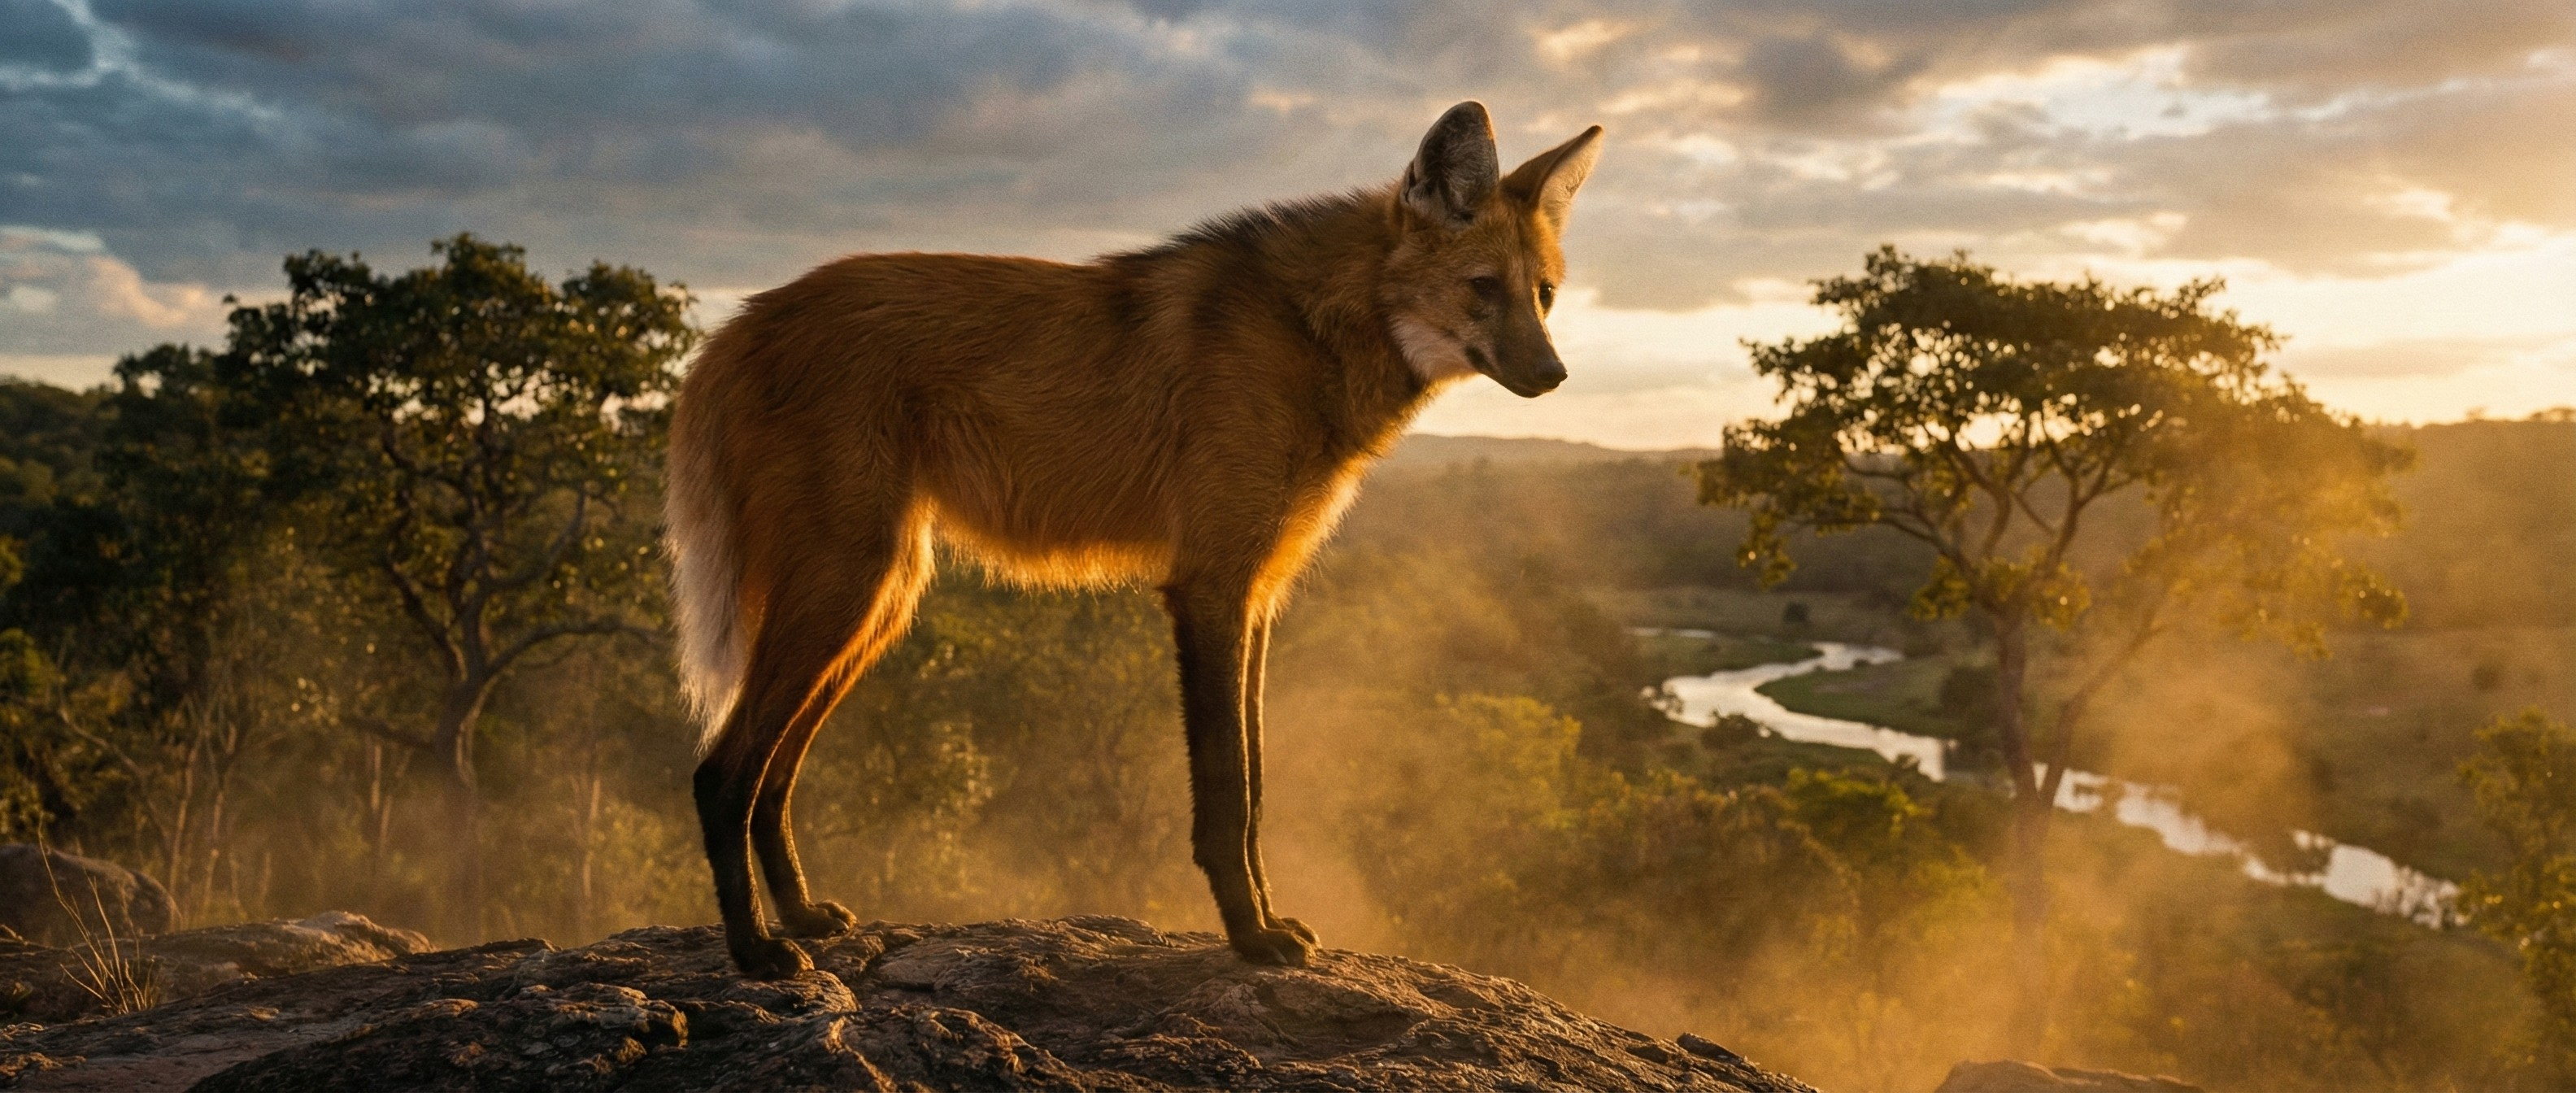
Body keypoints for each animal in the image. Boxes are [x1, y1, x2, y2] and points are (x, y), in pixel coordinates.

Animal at [667, 101, 1603, 978]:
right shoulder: (1211, 587)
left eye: (1544, 294)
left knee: (774, 774)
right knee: (720, 772)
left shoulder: (1256, 595)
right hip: (847, 588)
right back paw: (755, 952)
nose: (1554, 375)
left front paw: (1268, 923)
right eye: (1484, 286)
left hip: (882, 600)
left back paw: (801, 917)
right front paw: (1252, 938)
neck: (1312, 327)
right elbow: (1228, 790)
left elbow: (1255, 785)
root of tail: (741, 321)